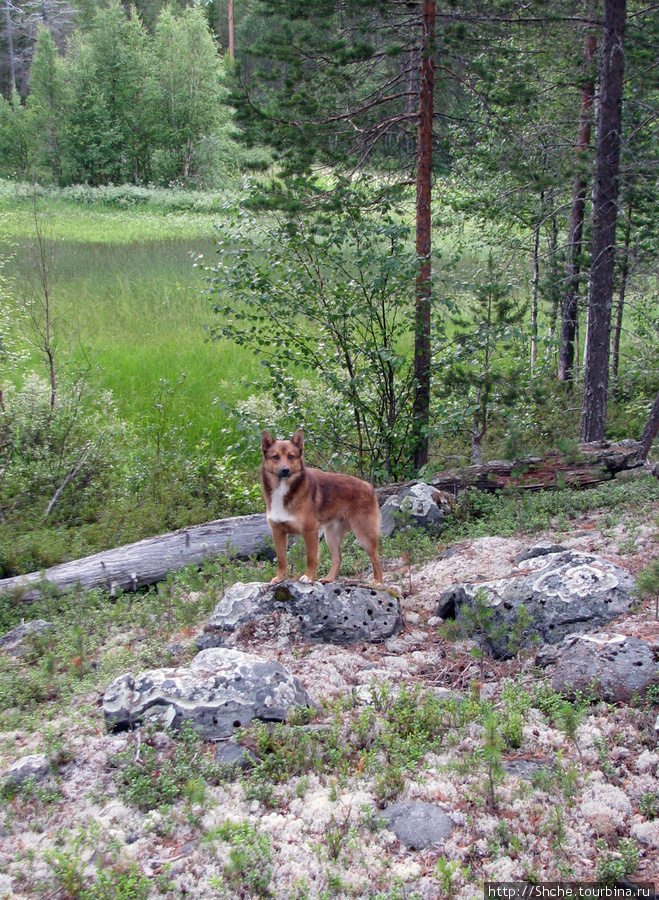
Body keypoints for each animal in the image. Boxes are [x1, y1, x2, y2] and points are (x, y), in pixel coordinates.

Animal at [260, 432, 384, 588]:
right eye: (275, 457)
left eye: (291, 456)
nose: (285, 470)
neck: (284, 490)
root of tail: (368, 486)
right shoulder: (278, 532)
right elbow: (282, 560)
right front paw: (280, 578)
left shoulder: (310, 531)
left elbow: (311, 558)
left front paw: (308, 577)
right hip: (331, 536)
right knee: (338, 558)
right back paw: (329, 579)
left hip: (364, 534)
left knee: (375, 557)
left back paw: (378, 581)